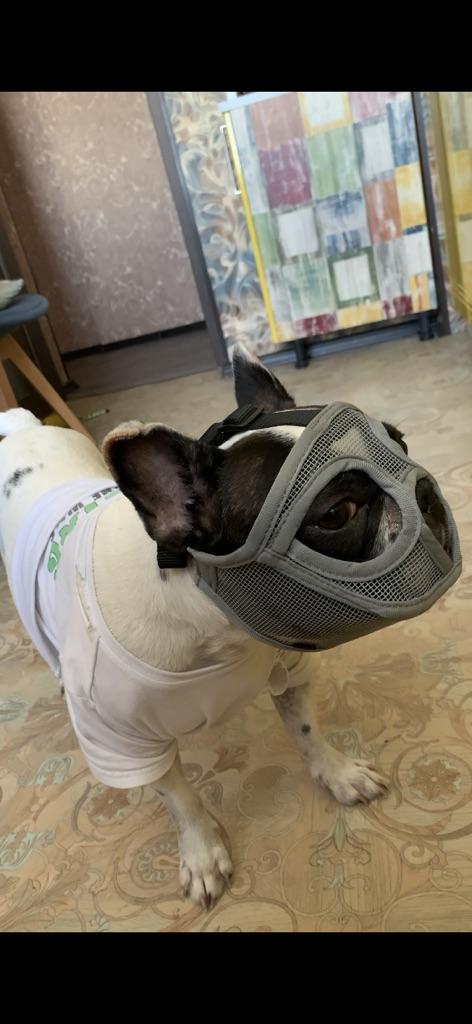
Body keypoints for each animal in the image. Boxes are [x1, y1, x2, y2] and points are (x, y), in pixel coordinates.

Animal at [0, 343, 448, 909]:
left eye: (400, 443)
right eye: (336, 513)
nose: (426, 493)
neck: (212, 628)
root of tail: (20, 428)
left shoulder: (290, 666)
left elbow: (306, 731)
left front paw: (338, 773)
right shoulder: (126, 744)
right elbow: (180, 797)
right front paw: (201, 853)